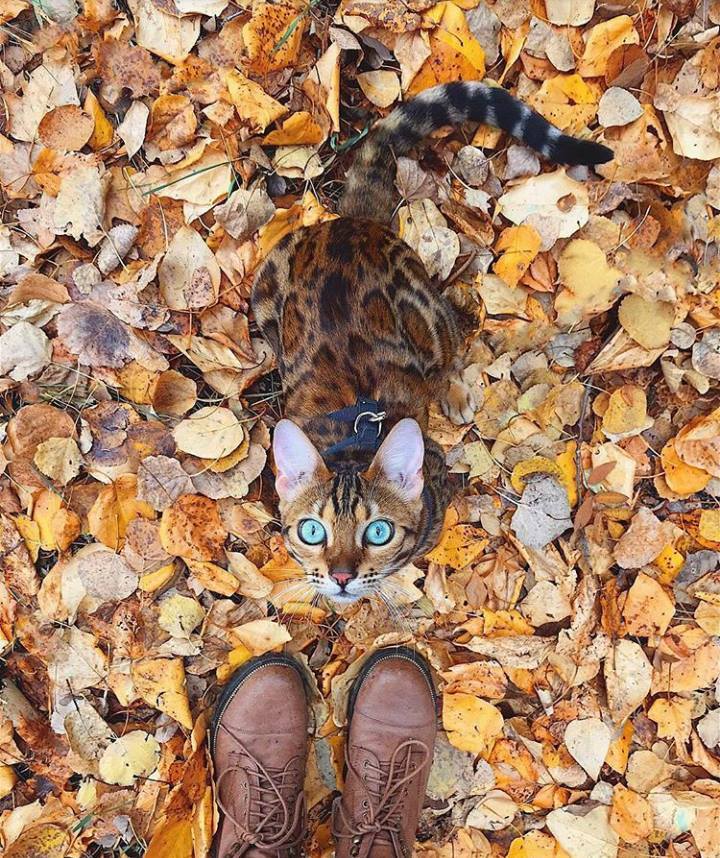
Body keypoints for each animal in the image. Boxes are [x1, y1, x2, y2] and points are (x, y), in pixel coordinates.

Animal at [250, 78, 612, 600]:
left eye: (378, 531)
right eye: (311, 531)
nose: (341, 576)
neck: (353, 438)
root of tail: (352, 222)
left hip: (428, 314)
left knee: (451, 350)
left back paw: (455, 392)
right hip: (265, 290)